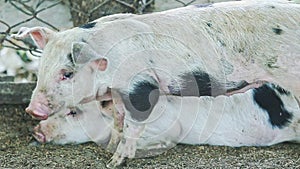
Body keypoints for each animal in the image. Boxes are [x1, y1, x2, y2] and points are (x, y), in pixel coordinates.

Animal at [11, 0, 300, 166]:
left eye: (67, 73)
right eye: (42, 67)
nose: (32, 109)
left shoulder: (140, 85)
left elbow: (133, 124)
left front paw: (115, 161)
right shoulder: (117, 92)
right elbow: (117, 120)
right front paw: (111, 149)